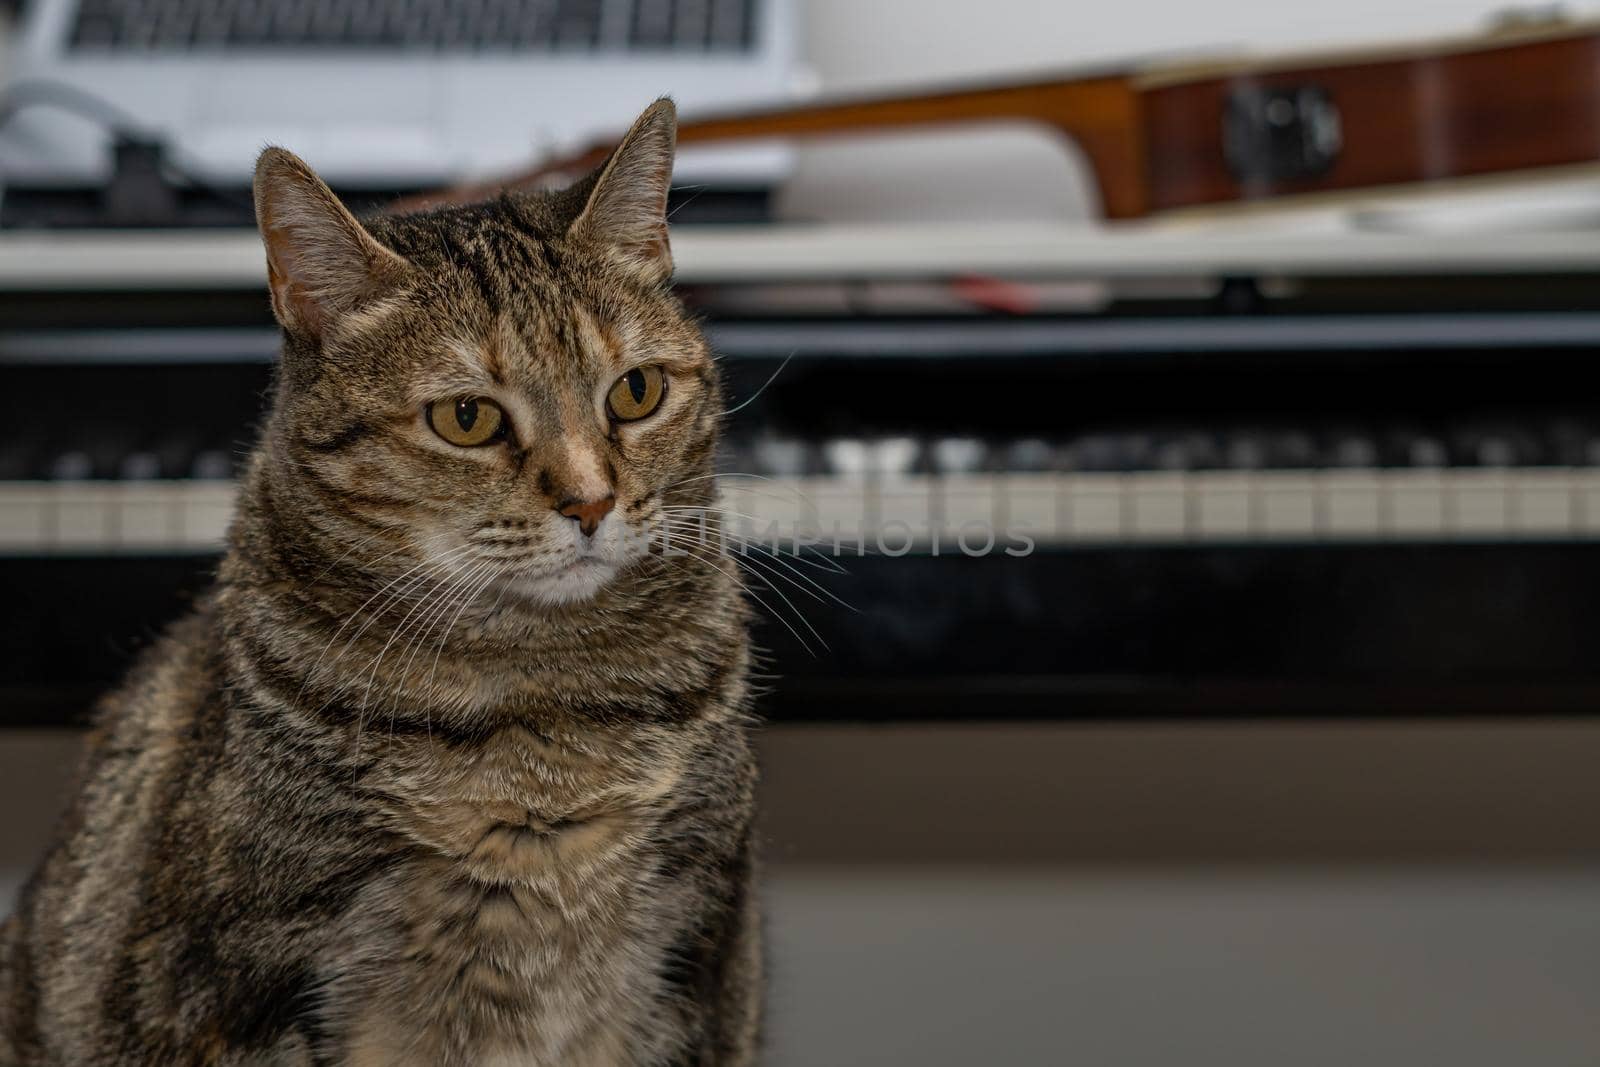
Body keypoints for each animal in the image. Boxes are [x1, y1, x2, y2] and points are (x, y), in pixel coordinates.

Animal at [0, 99, 761, 1067]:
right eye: (467, 417)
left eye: (635, 392)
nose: (591, 500)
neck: (543, 704)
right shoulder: (246, 984)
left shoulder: (699, 945)